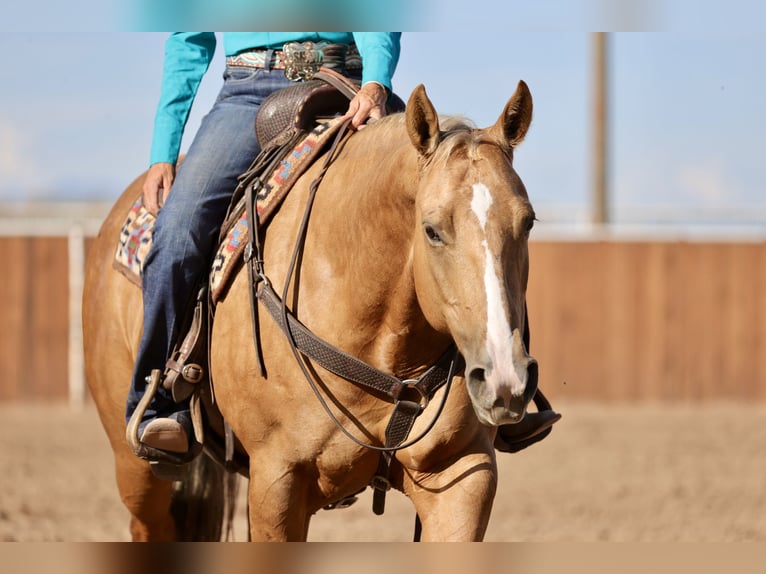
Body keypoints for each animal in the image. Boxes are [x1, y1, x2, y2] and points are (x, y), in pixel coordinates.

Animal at [83, 81, 537, 541]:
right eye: (431, 230)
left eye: (528, 222)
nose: (503, 379)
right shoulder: (277, 480)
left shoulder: (463, 475)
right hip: (139, 473)